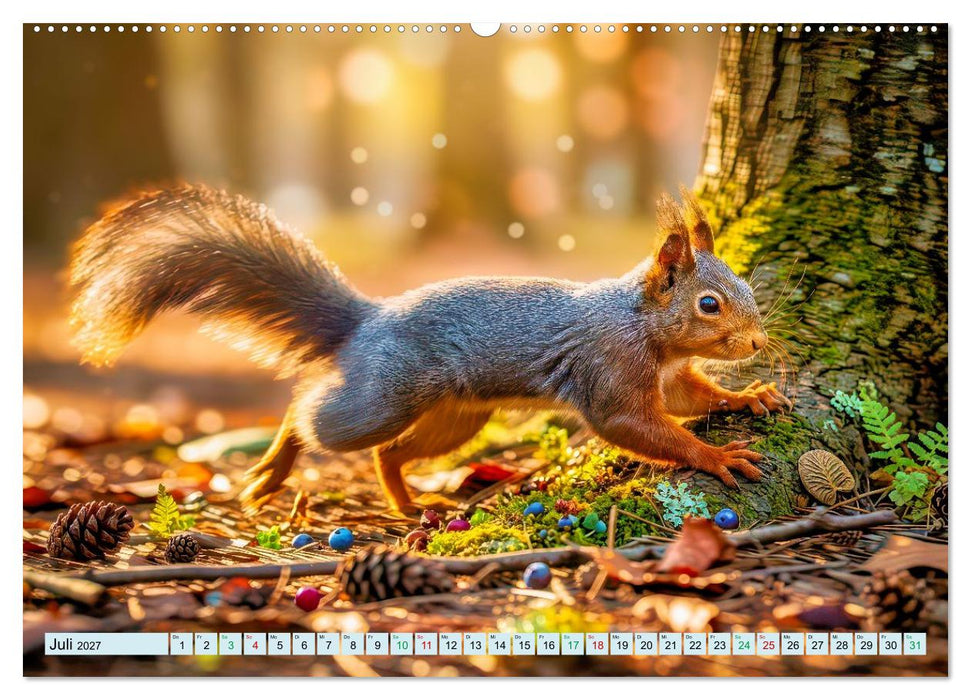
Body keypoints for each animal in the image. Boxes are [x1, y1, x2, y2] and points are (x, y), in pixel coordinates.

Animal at [69, 184, 791, 514]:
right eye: (709, 304)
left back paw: (411, 503)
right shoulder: (611, 372)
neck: (643, 325)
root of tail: (366, 320)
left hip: (457, 418)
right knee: (310, 414)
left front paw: (751, 396)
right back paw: (275, 467)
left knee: (388, 454)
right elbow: (641, 426)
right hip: (383, 398)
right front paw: (716, 454)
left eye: (743, 284)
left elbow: (692, 396)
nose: (758, 342)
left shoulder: (666, 373)